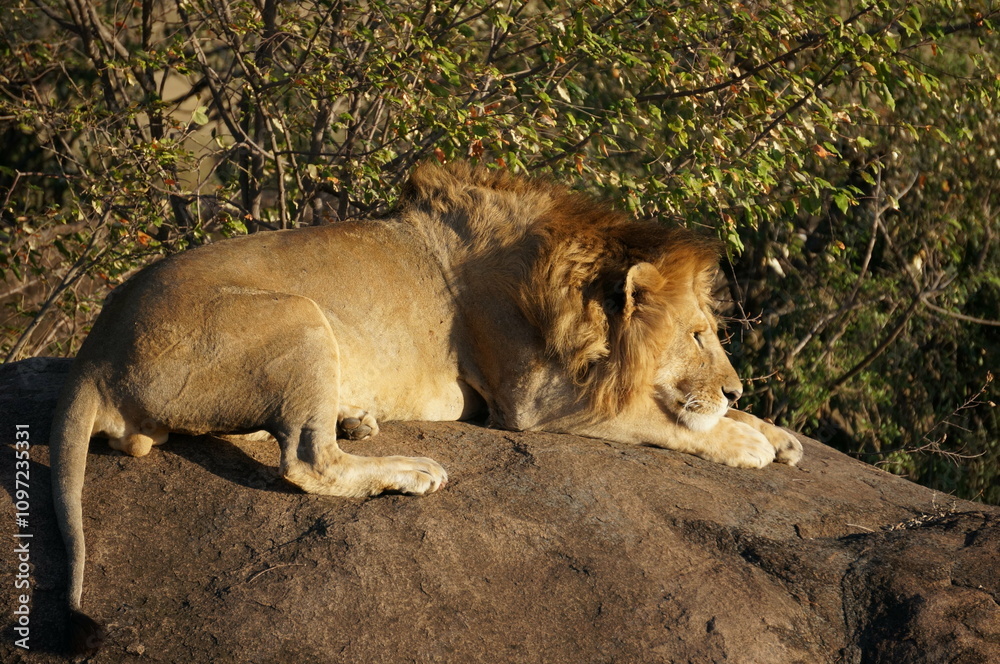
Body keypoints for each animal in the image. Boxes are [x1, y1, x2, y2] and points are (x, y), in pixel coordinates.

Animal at [50, 161, 801, 653]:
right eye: (698, 334)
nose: (736, 389)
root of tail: (94, 350)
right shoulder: (529, 406)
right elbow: (652, 416)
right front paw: (743, 440)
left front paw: (774, 431)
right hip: (300, 316)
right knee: (306, 461)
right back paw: (408, 468)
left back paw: (356, 417)